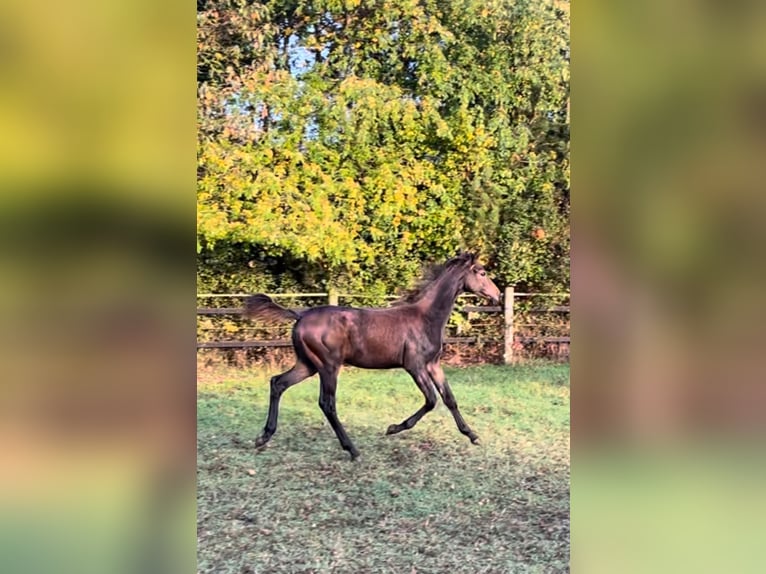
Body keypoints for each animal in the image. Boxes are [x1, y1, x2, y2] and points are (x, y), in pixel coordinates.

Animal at [246, 254, 504, 462]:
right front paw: (393, 428)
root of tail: (299, 315)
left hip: (308, 365)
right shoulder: (415, 366)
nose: (498, 295)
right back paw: (352, 450)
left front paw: (473, 435)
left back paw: (263, 437)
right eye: (482, 272)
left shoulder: (433, 364)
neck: (426, 318)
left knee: (278, 383)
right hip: (328, 366)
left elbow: (449, 398)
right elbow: (431, 400)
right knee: (327, 403)